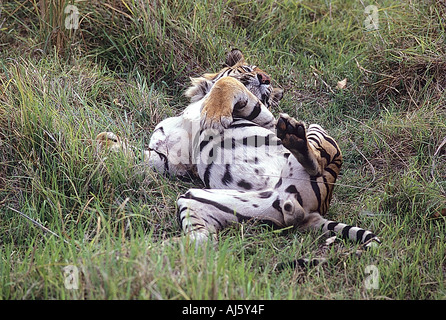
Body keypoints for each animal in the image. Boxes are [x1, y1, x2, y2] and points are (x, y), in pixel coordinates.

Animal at [96, 48, 380, 262]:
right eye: (249, 68)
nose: (265, 78)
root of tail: (314, 210)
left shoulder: (265, 118)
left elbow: (226, 83)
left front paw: (213, 117)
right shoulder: (173, 161)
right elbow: (143, 156)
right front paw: (106, 141)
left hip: (319, 134)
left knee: (317, 158)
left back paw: (294, 136)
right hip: (200, 198)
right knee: (201, 241)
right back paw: (144, 252)